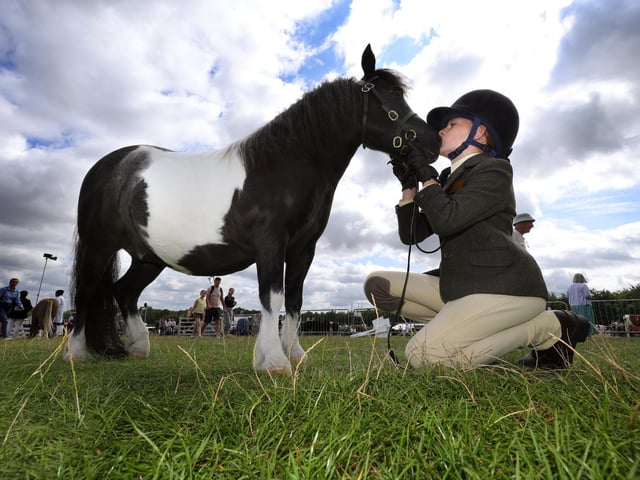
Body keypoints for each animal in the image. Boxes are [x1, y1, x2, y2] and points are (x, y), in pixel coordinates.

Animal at [69, 44, 441, 373]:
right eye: (389, 96)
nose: (433, 140)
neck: (284, 164)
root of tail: (110, 166)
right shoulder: (271, 242)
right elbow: (271, 298)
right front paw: (274, 362)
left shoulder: (303, 249)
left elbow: (293, 302)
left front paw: (295, 355)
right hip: (99, 246)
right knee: (86, 293)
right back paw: (76, 354)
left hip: (148, 257)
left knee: (124, 290)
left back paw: (138, 347)